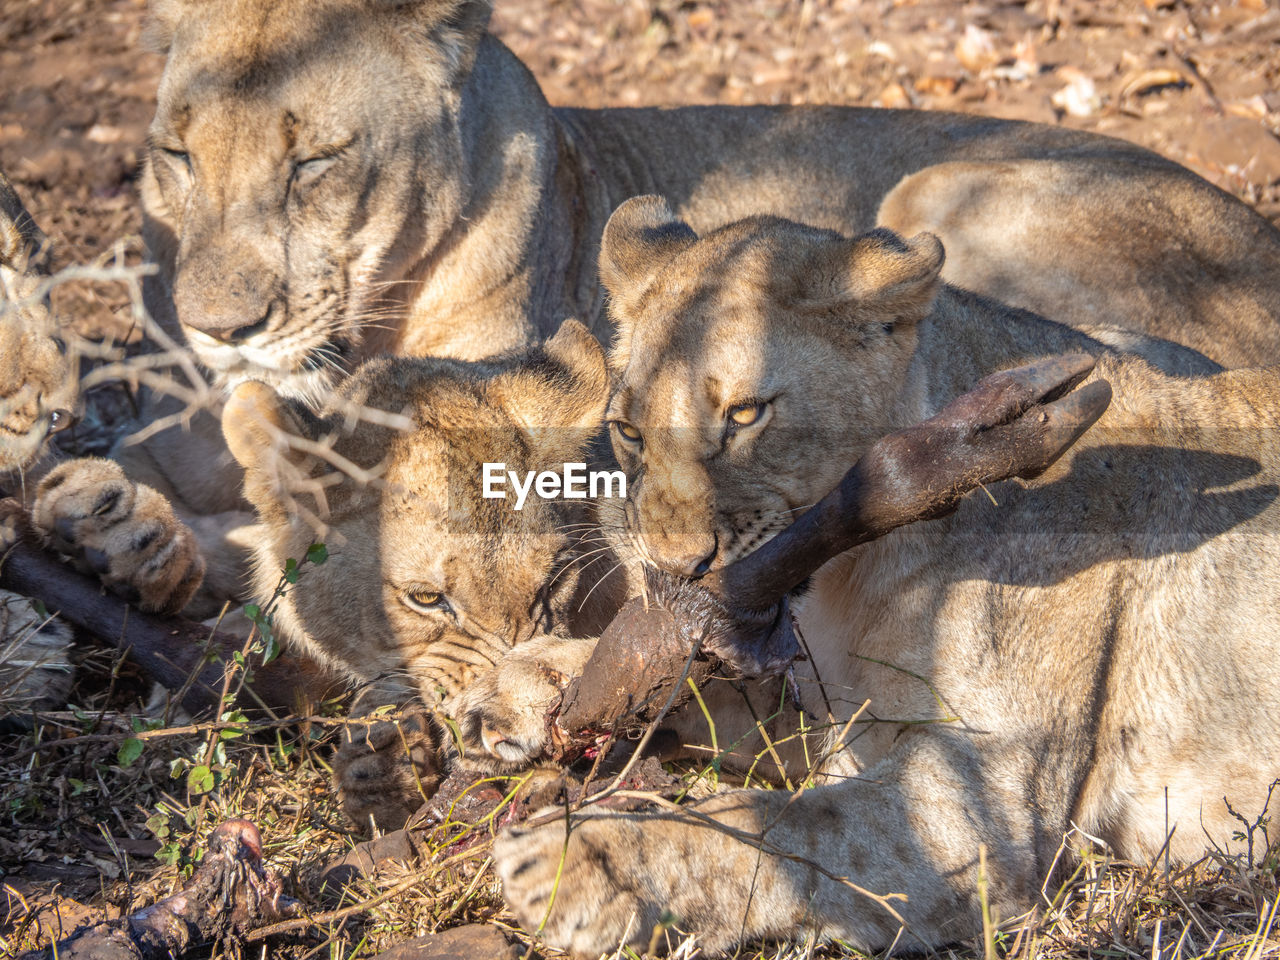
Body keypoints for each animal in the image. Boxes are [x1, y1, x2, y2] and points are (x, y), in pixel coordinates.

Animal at [478, 199, 1280, 957]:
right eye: (629, 432)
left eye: (746, 414)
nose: (675, 575)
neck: (847, 579)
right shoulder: (829, 706)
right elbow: (711, 695)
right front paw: (530, 680)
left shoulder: (983, 811)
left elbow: (782, 826)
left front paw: (580, 860)